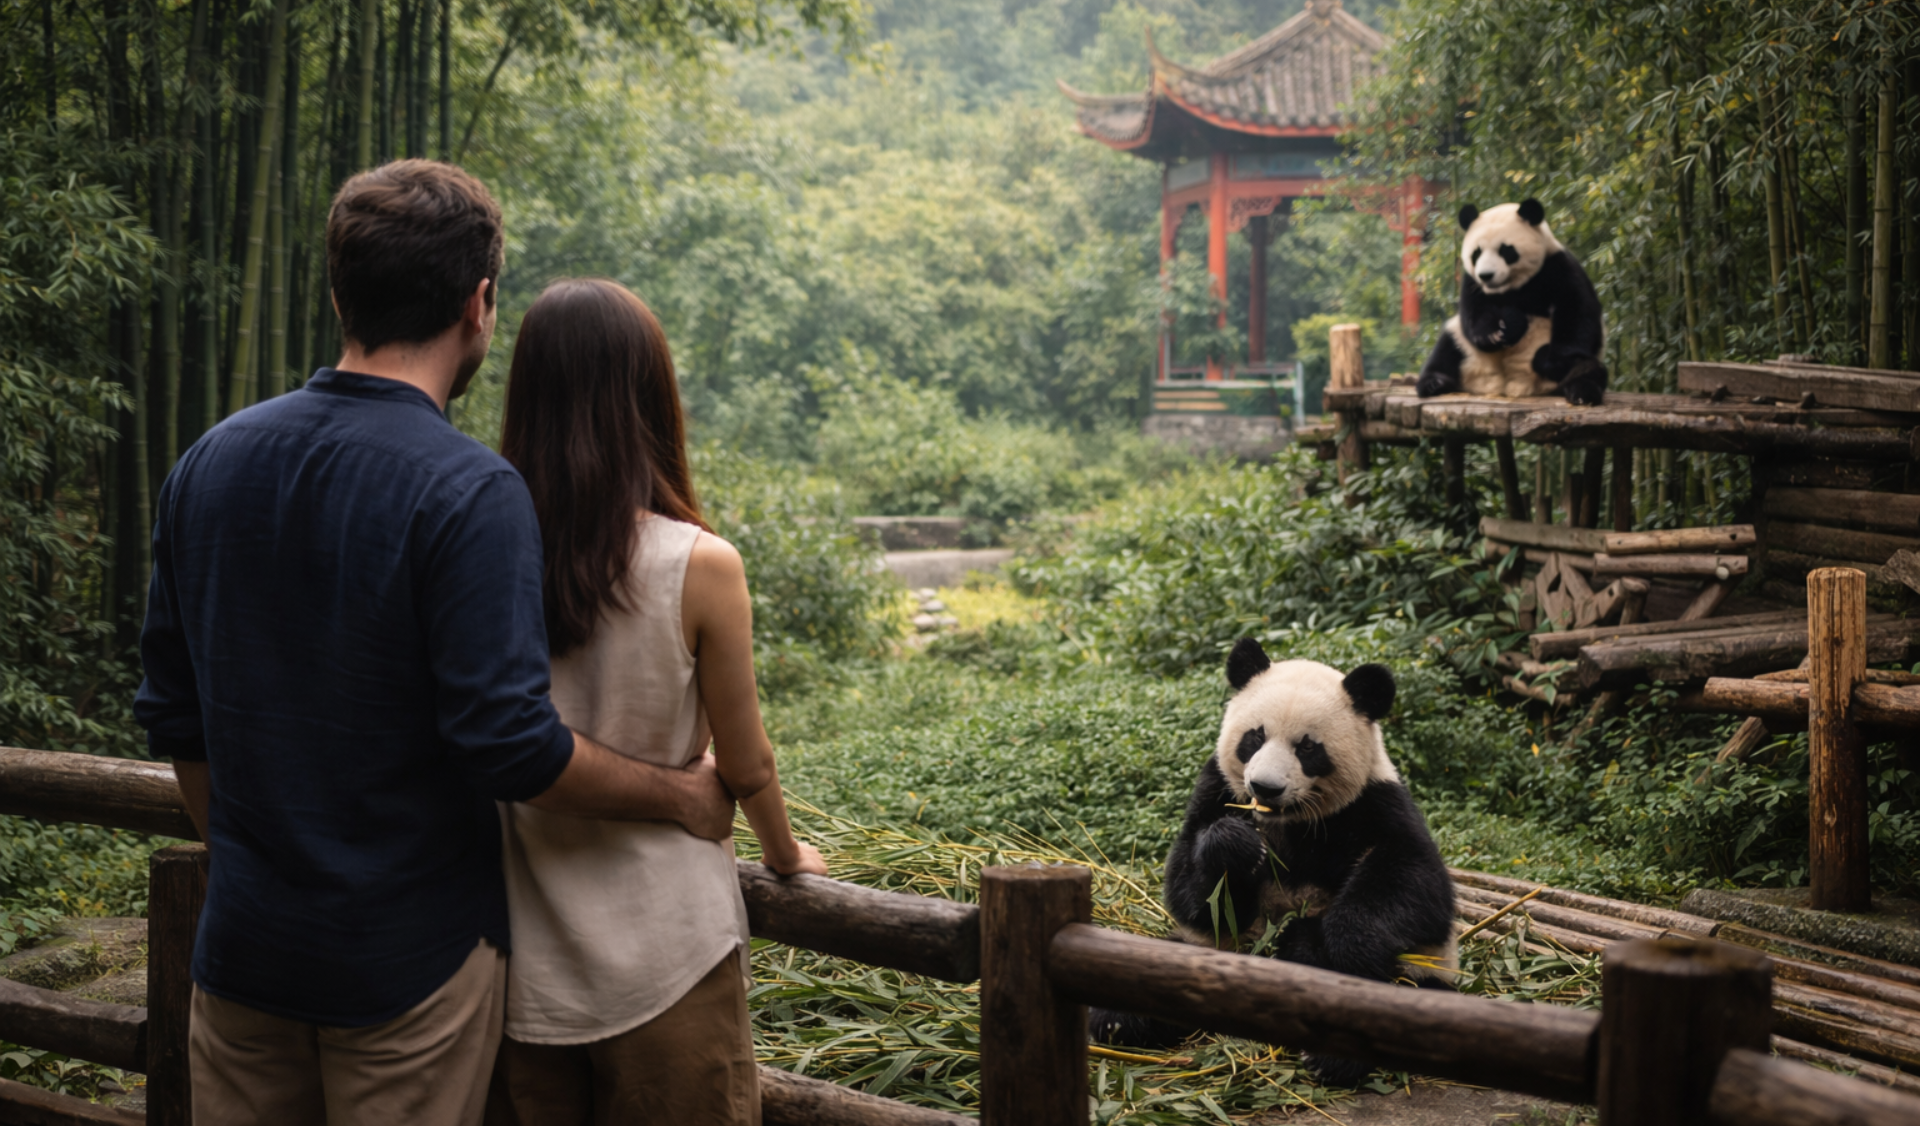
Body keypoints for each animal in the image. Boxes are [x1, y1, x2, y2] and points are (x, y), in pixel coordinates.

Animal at [1090, 638, 1456, 1087]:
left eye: (1308, 747)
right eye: (1255, 736)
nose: (1265, 787)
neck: (1287, 821)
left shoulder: (1374, 803)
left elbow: (1419, 883)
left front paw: (1353, 943)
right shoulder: (1216, 788)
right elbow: (1191, 893)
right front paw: (1234, 846)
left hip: (1420, 974)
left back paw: (1331, 1056)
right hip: (1210, 948)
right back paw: (1119, 1019)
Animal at [1415, 198, 1607, 405]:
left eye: (1505, 250)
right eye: (1476, 253)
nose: (1486, 275)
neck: (1510, 286)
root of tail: (1510, 388)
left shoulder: (1557, 267)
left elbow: (1576, 310)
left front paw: (1548, 359)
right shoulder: (1472, 282)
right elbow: (1473, 314)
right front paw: (1495, 332)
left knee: (1586, 366)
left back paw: (1582, 392)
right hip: (1463, 346)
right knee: (1446, 350)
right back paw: (1434, 384)